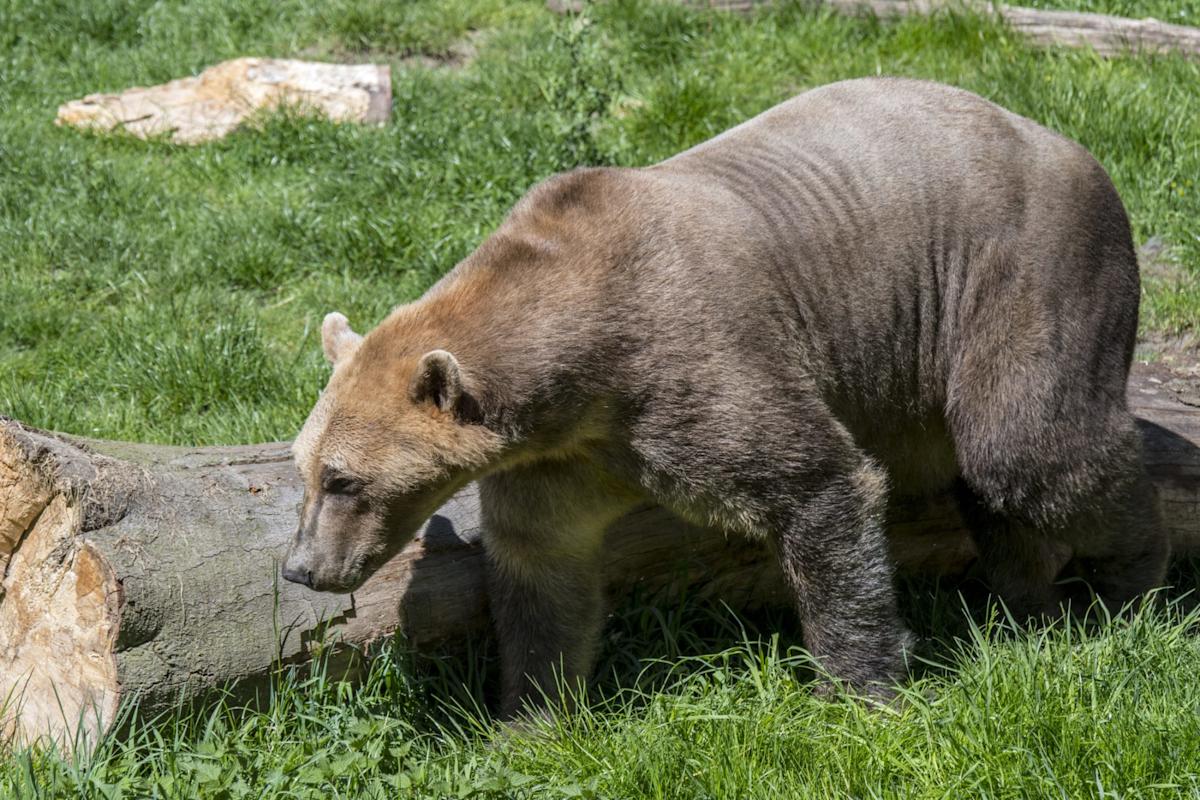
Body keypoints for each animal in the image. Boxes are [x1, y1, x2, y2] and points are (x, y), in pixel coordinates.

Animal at [280, 74, 1161, 714]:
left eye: (345, 480)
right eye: (304, 471)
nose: (301, 568)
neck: (580, 370)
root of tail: (1072, 145)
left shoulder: (690, 367)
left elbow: (818, 484)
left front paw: (858, 690)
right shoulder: (562, 456)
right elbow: (543, 570)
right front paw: (530, 714)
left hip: (1021, 273)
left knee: (1031, 450)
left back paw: (1132, 583)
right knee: (994, 487)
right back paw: (1026, 597)